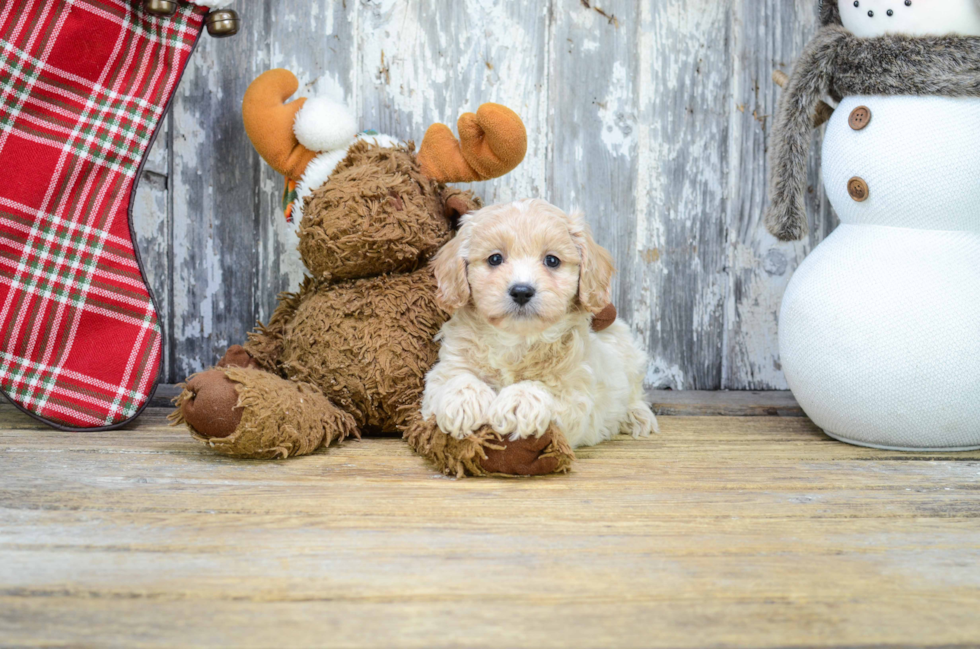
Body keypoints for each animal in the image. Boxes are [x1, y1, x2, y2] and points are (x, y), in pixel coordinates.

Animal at [422, 200, 660, 448]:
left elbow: (541, 387)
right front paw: (464, 401)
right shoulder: (446, 368)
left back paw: (636, 415)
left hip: (629, 352)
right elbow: (457, 378)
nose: (521, 291)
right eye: (495, 259)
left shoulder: (576, 393)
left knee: (634, 392)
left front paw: (519, 401)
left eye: (552, 261)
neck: (516, 340)